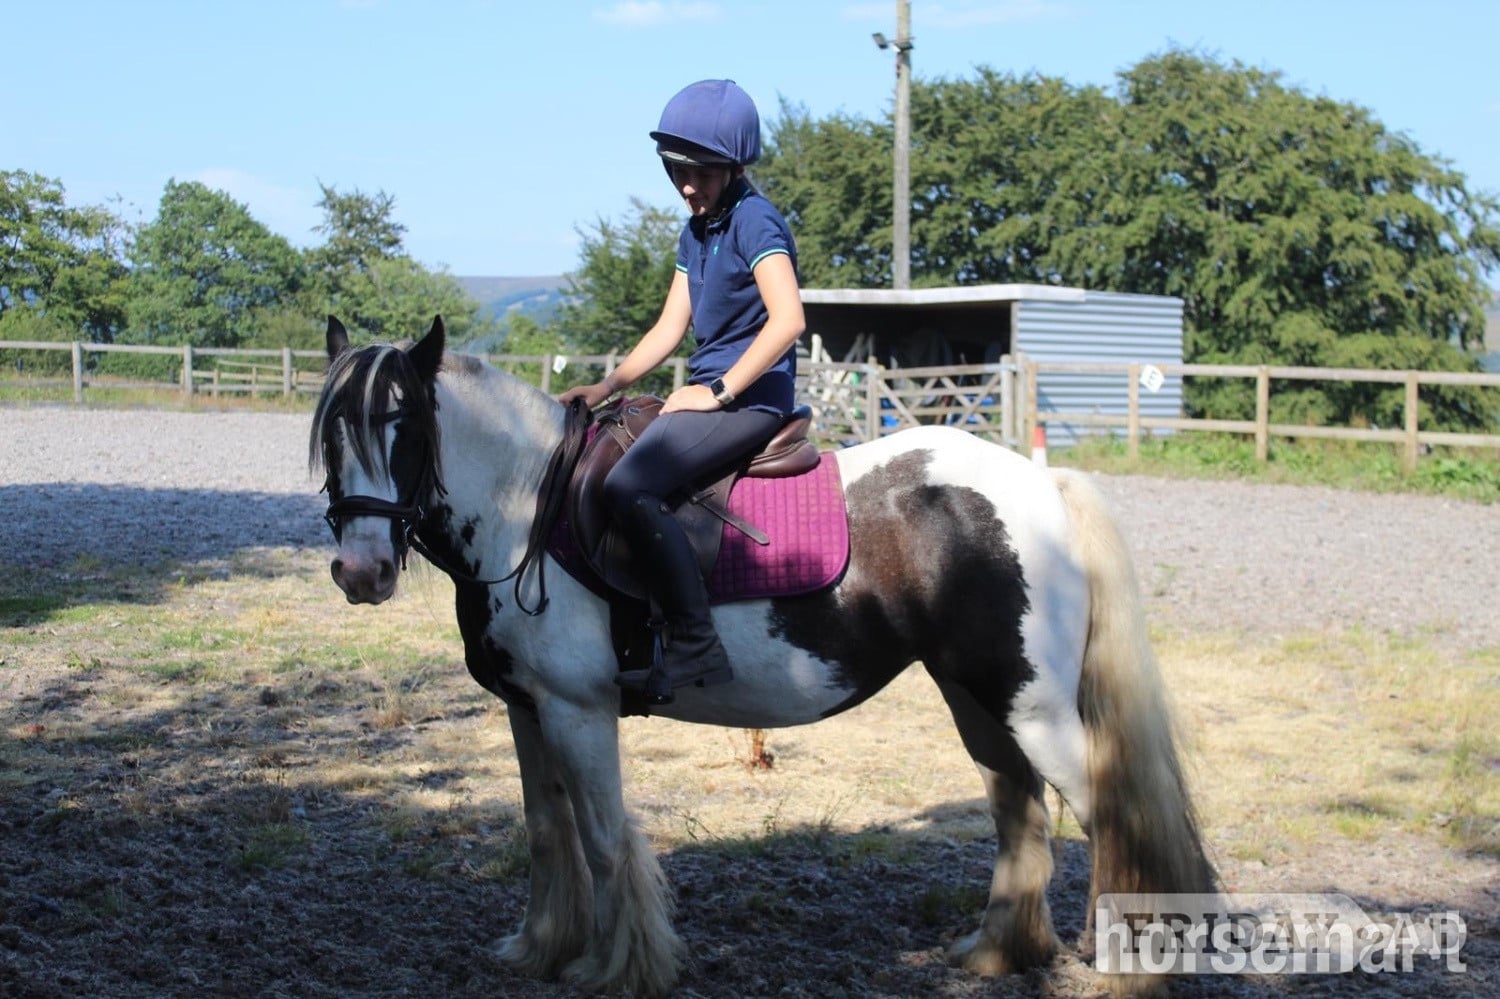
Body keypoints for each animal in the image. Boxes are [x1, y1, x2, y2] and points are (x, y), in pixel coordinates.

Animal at [310, 315, 1215, 997]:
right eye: (332, 431)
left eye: (404, 427)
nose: (361, 570)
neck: (527, 504)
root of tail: (1042, 483)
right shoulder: (529, 710)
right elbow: (545, 830)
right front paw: (540, 948)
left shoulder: (579, 710)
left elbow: (603, 839)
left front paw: (618, 968)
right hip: (978, 697)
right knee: (1017, 807)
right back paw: (995, 952)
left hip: (1034, 707)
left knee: (1110, 815)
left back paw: (1130, 970)